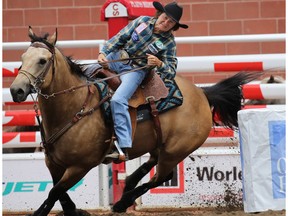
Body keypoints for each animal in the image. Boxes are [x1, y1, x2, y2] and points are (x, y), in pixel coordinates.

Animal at [10, 27, 260, 216]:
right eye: (22, 58)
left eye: (42, 61)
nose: (16, 90)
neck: (76, 106)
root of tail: (202, 93)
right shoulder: (53, 163)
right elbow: (58, 192)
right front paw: (76, 211)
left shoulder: (81, 166)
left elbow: (54, 192)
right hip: (160, 145)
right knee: (150, 167)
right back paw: (128, 187)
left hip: (176, 150)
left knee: (161, 176)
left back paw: (122, 202)